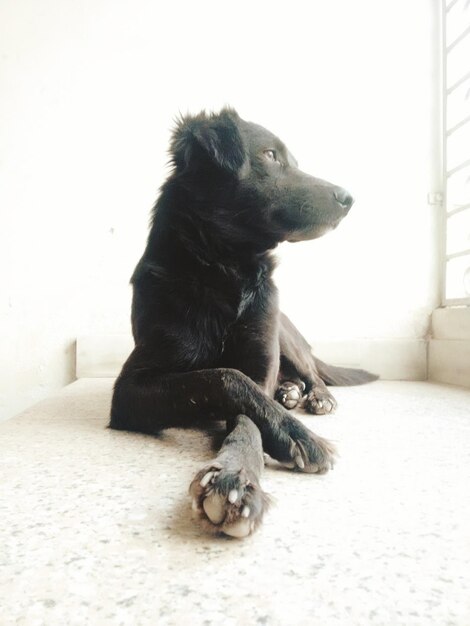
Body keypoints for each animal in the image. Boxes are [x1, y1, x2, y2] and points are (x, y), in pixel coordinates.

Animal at [109, 107, 374, 536]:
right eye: (269, 155)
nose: (348, 198)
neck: (225, 269)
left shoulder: (260, 361)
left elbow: (248, 412)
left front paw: (238, 474)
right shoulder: (129, 390)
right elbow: (224, 377)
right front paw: (288, 434)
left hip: (285, 332)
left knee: (311, 372)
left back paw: (314, 396)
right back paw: (291, 394)